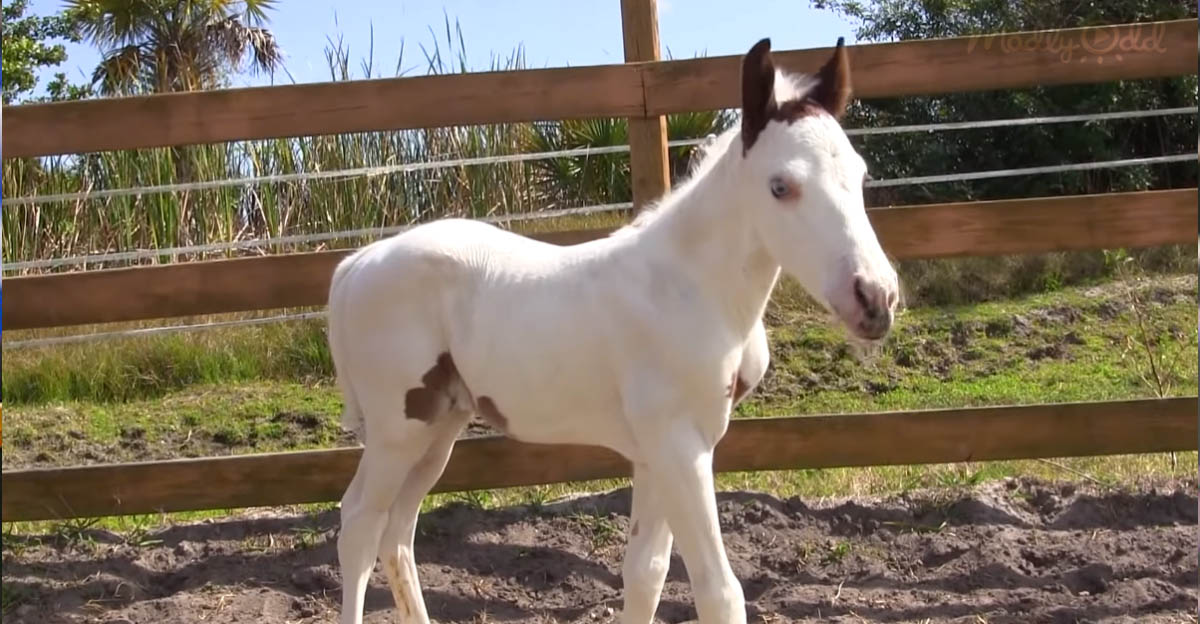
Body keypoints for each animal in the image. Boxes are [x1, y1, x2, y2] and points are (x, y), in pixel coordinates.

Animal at [328, 37, 902, 624]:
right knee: (359, 524)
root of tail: (358, 263)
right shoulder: (679, 444)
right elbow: (718, 590)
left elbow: (646, 572)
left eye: (860, 177)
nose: (875, 298)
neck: (690, 286)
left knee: (398, 531)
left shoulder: (659, 451)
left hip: (439, 428)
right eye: (780, 186)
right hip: (398, 429)